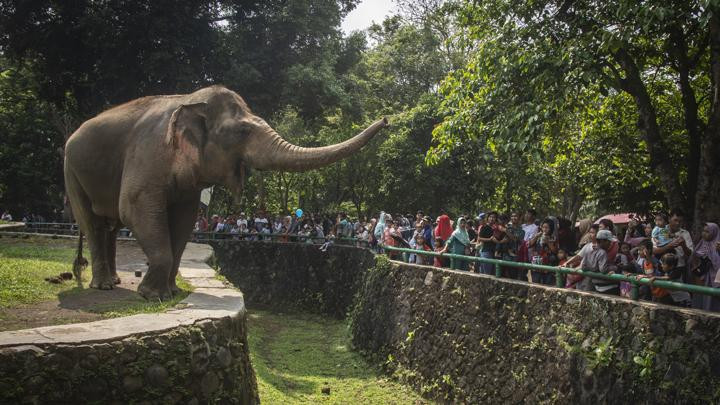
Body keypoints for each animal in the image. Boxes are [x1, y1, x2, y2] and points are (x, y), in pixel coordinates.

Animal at [62, 86, 388, 300]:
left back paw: (113, 280)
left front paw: (171, 292)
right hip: (70, 169)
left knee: (110, 225)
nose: (386, 120)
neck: (189, 100)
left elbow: (183, 221)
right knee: (93, 223)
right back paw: (104, 284)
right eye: (243, 132)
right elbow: (134, 207)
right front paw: (153, 296)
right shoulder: (146, 155)